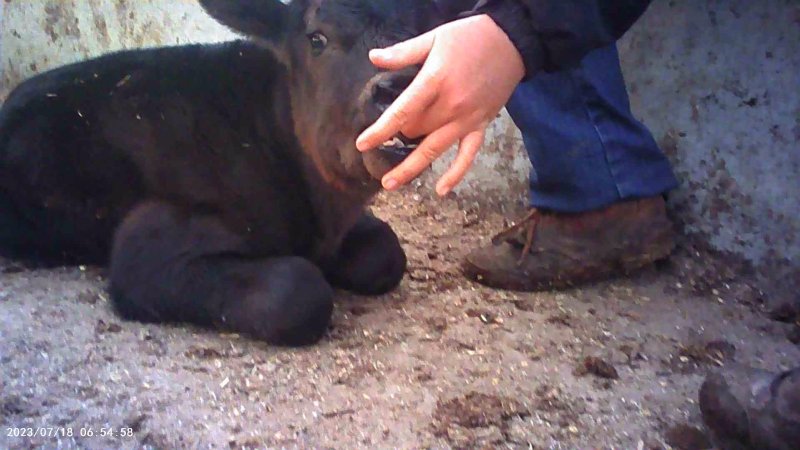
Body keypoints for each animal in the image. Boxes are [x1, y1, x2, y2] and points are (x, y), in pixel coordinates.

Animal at [0, 0, 453, 346]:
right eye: (316, 39)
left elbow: (386, 251)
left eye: (430, 32)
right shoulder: (147, 244)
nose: (398, 87)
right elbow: (298, 292)